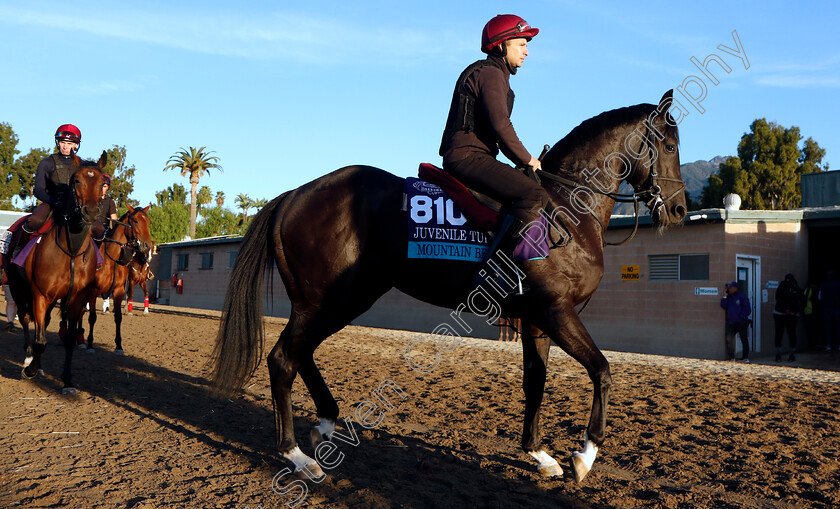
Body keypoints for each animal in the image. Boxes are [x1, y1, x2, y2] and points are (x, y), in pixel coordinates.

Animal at [4, 153, 106, 394]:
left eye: (102, 182)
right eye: (76, 180)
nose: (90, 212)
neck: (71, 250)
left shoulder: (78, 298)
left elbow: (68, 339)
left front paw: (67, 381)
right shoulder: (40, 295)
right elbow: (40, 340)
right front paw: (29, 369)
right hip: (17, 286)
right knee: (25, 318)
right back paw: (28, 358)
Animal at [81, 204, 152, 352]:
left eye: (148, 222)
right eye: (135, 221)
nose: (147, 246)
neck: (110, 258)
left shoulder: (119, 290)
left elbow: (118, 317)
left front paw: (119, 345)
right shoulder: (93, 291)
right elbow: (92, 317)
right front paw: (90, 344)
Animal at [213, 89, 684, 482]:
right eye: (670, 145)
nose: (679, 210)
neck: (567, 208)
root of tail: (294, 194)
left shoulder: (536, 320)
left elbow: (535, 383)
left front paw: (539, 454)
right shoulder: (556, 312)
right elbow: (602, 371)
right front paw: (584, 455)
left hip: (334, 301)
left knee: (301, 354)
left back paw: (326, 423)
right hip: (329, 301)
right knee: (283, 360)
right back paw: (296, 456)